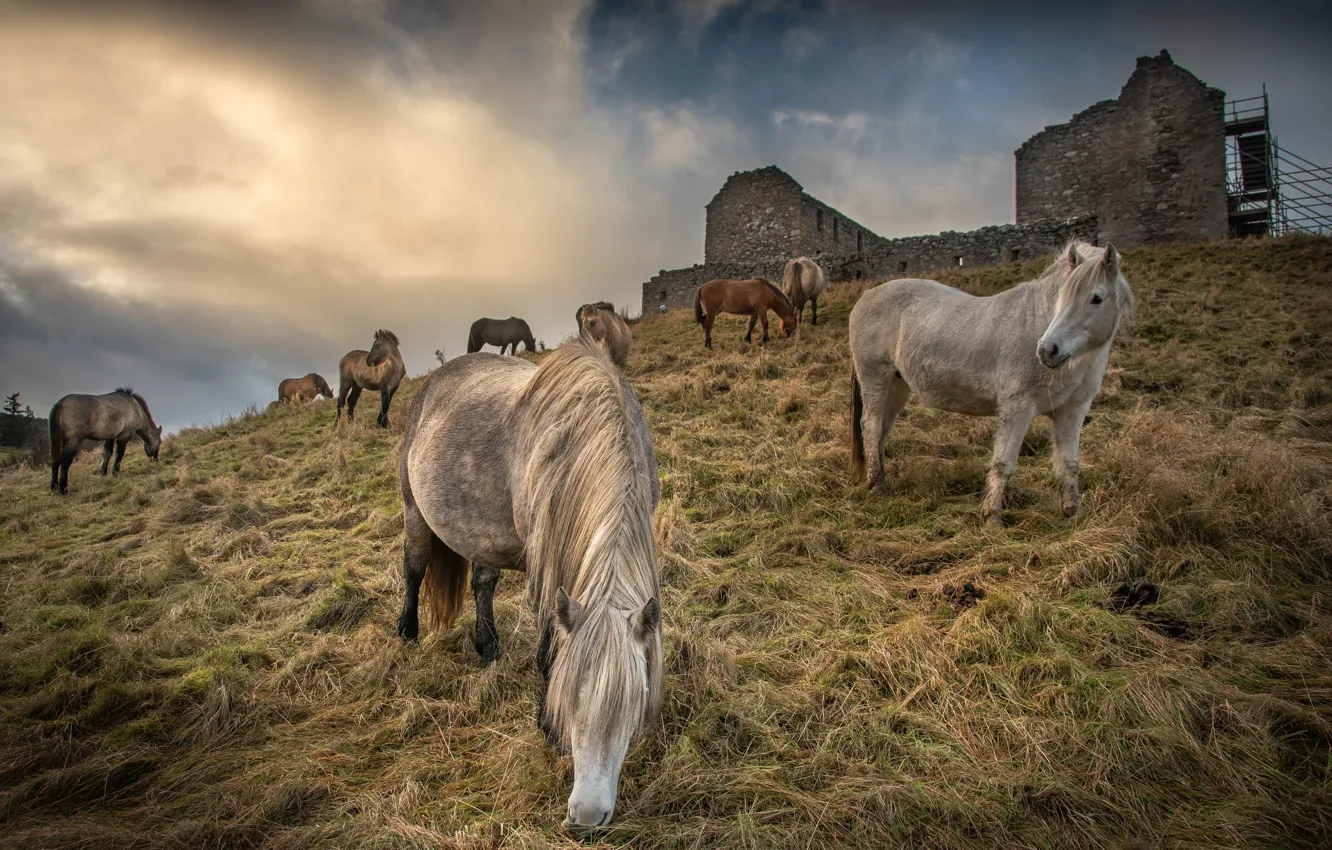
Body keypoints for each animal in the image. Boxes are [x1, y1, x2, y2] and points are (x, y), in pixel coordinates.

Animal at [394, 339, 661, 834]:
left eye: (635, 703)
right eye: (568, 698)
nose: (586, 817)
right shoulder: (547, 563)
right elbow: (549, 642)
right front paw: (548, 726)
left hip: (479, 532)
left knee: (482, 583)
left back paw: (488, 649)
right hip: (414, 513)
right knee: (413, 571)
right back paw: (407, 635)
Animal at [849, 241, 1133, 524]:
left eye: (1096, 298)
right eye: (1062, 297)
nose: (1048, 350)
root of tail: (865, 297)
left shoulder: (1072, 411)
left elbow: (1069, 464)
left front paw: (1072, 512)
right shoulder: (1017, 408)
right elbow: (1003, 463)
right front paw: (992, 516)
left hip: (897, 386)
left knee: (883, 428)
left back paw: (880, 477)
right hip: (875, 377)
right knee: (871, 426)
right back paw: (877, 484)